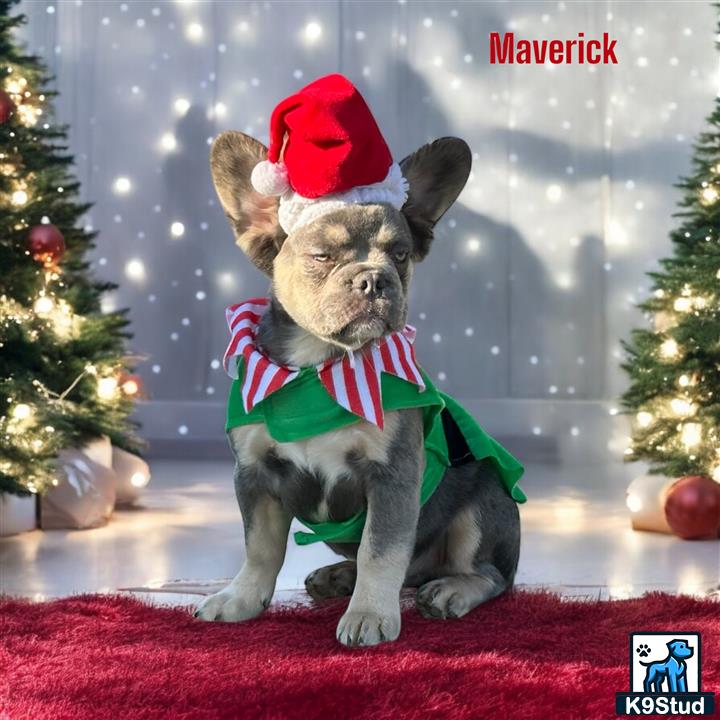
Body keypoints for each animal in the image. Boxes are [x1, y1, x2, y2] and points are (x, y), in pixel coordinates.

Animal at [195, 128, 524, 648]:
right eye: (321, 257)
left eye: (401, 255)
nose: (374, 279)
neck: (321, 367)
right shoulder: (255, 476)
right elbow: (260, 547)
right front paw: (241, 597)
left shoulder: (392, 477)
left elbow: (380, 549)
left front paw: (368, 613)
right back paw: (339, 576)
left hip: (484, 502)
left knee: (488, 574)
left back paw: (451, 589)